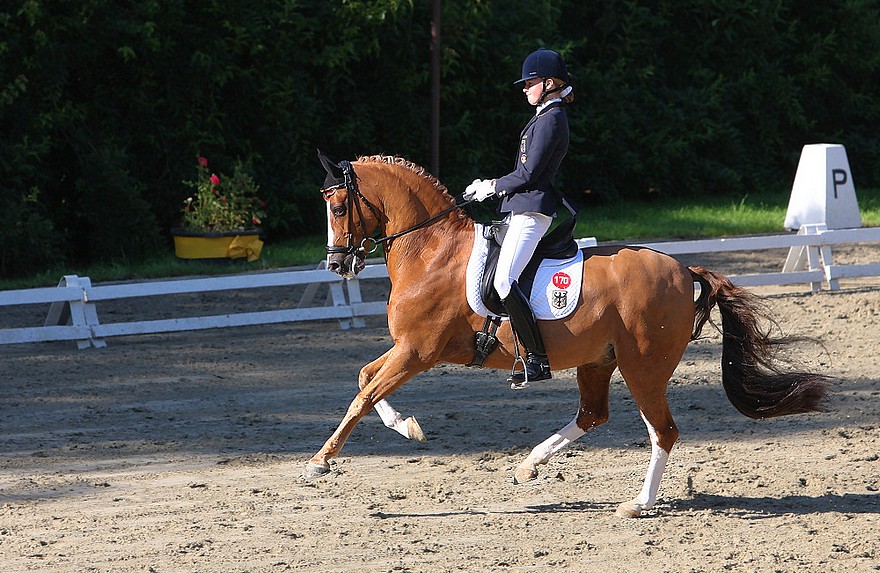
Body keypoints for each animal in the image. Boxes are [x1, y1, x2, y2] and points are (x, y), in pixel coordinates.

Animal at [306, 153, 828, 520]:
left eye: (338, 206)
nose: (336, 265)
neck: (431, 250)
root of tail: (685, 270)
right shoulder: (408, 349)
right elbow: (364, 380)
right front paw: (407, 426)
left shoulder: (418, 351)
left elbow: (364, 395)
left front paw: (320, 461)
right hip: (598, 360)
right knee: (593, 415)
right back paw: (529, 465)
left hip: (643, 367)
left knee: (663, 430)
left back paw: (637, 504)